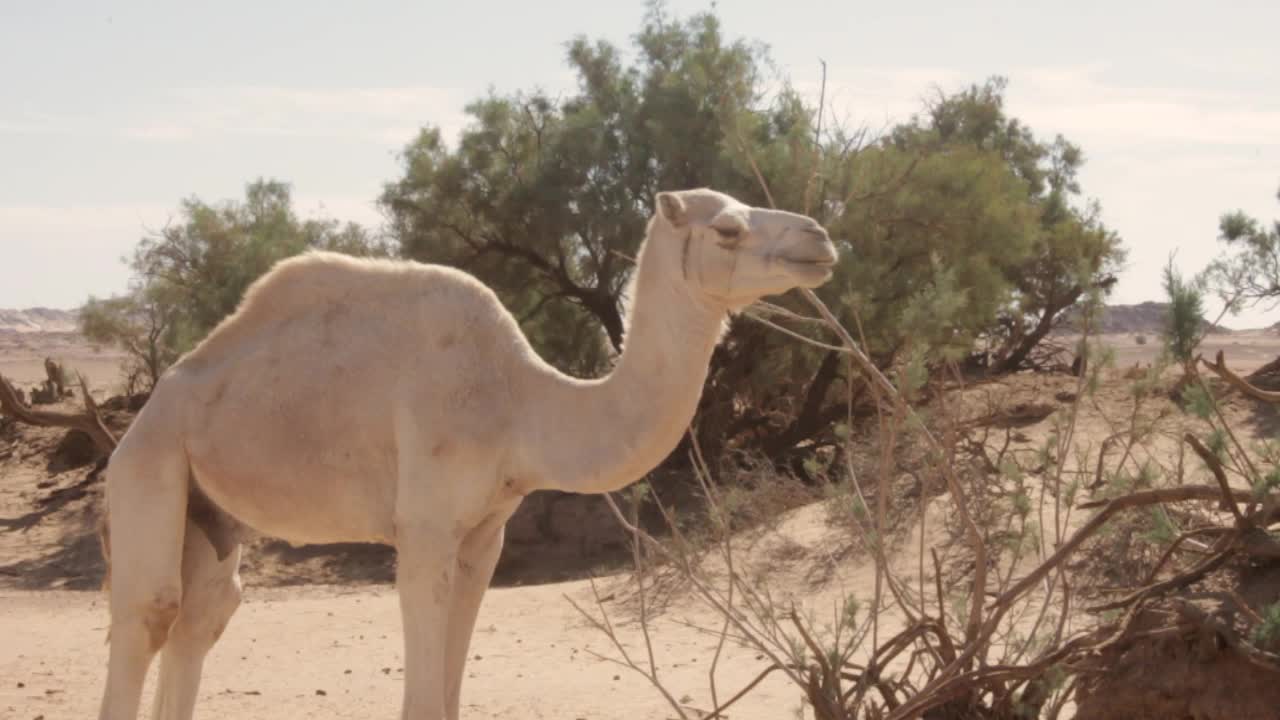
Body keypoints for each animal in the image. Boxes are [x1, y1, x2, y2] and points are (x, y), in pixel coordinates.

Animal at [96, 187, 838, 719]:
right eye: (728, 229)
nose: (820, 239)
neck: (522, 403)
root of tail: (150, 405)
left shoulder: (485, 534)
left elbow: (452, 691)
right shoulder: (424, 527)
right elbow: (424, 700)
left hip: (211, 510)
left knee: (205, 613)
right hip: (148, 463)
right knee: (151, 610)